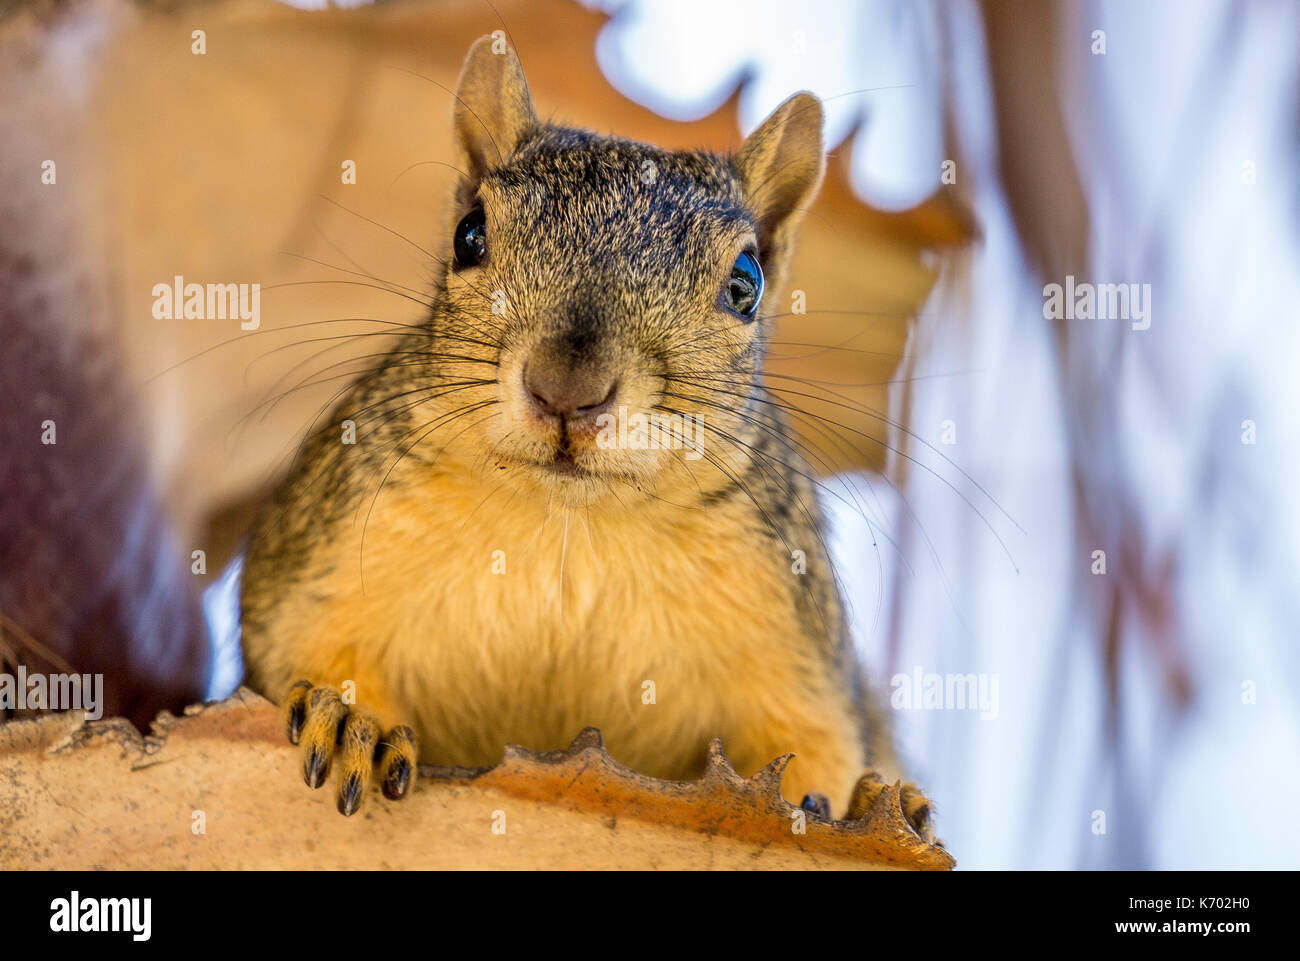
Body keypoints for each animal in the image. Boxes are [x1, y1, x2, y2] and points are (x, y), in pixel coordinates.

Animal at [241, 37, 935, 832]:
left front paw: (850, 802)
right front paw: (351, 718)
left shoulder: (794, 642)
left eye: (746, 282)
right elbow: (305, 649)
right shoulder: (323, 559)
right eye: (469, 234)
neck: (572, 522)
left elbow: (815, 743)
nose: (566, 390)